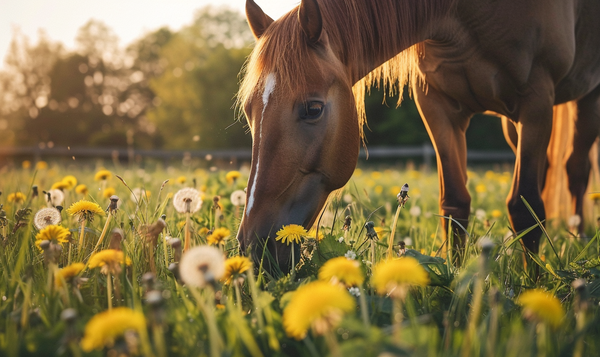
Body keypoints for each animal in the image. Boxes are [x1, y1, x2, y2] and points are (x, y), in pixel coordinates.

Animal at [237, 0, 600, 272]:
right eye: (248, 111)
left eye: (313, 109)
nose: (255, 247)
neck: (467, 14)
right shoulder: (436, 104)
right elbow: (454, 204)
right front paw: (457, 279)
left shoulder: (537, 100)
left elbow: (525, 208)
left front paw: (532, 288)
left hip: (585, 99)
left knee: (576, 170)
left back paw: (579, 241)